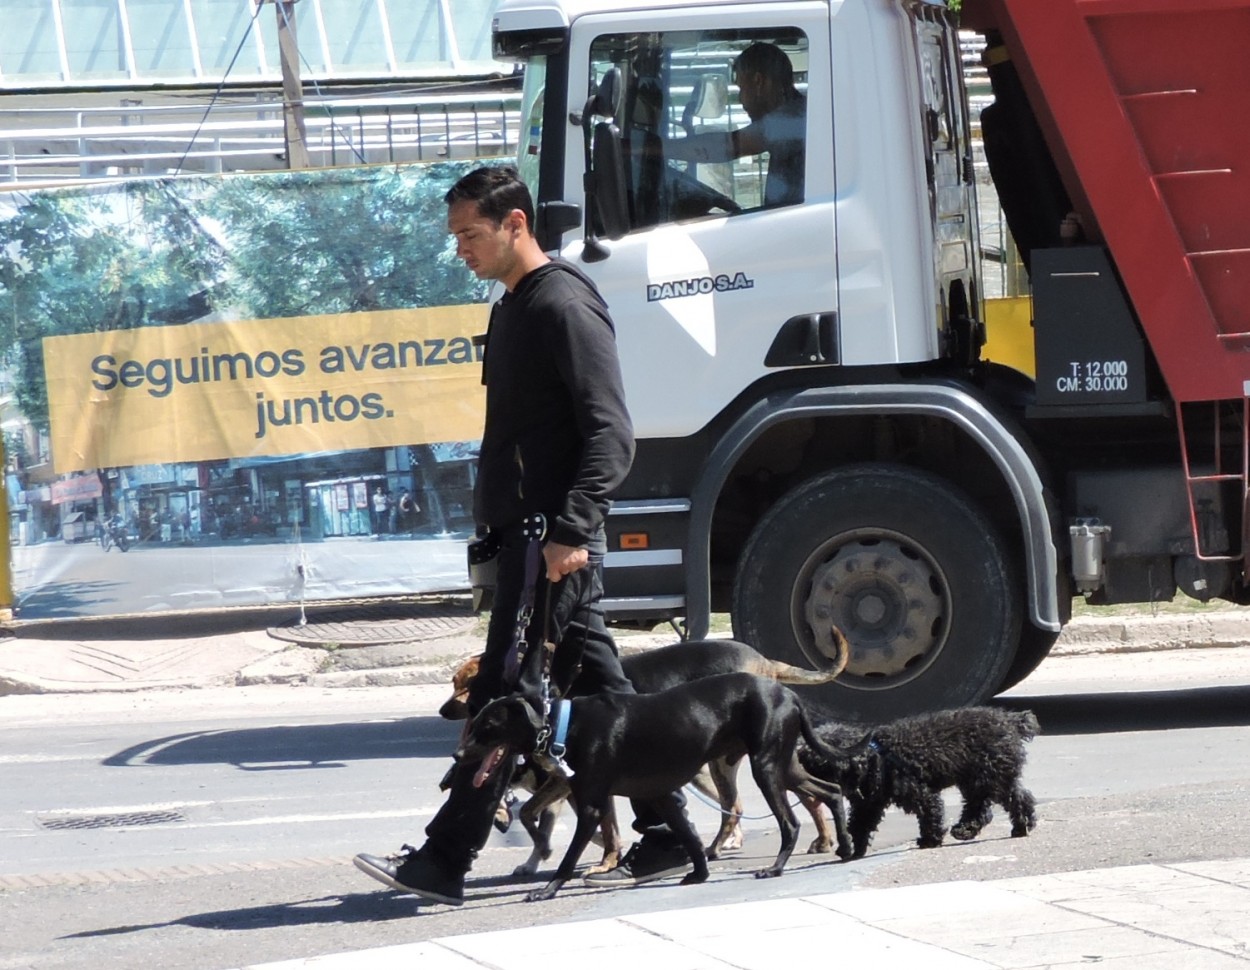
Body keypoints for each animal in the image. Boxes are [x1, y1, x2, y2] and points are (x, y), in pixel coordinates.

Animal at [795, 705, 1040, 855]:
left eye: (815, 763)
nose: (798, 776)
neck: (876, 757)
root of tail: (1010, 720)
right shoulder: (869, 804)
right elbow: (858, 824)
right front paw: (854, 849)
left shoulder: (919, 792)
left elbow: (929, 813)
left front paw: (930, 840)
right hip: (978, 780)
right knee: (987, 805)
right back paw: (970, 829)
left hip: (990, 777)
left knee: (1013, 800)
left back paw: (1019, 826)